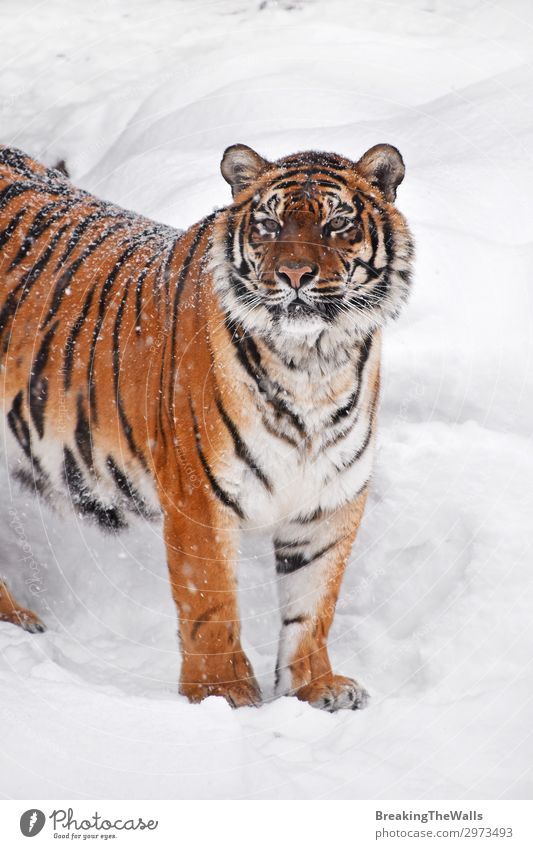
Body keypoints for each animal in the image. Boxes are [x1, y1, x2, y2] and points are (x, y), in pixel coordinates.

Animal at [0, 141, 412, 708]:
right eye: (268, 225)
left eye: (336, 224)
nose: (295, 275)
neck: (313, 363)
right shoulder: (198, 495)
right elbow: (209, 601)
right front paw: (222, 692)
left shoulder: (329, 502)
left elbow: (313, 605)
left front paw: (315, 686)